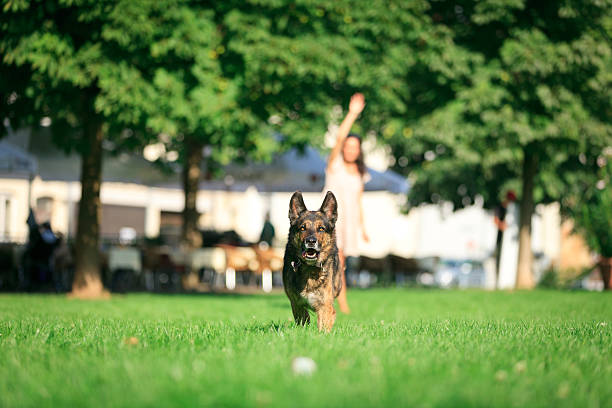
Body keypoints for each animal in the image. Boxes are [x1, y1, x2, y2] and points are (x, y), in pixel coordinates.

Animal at [284, 191, 342, 332]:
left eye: (321, 228)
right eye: (302, 228)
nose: (311, 241)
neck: (309, 269)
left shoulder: (325, 306)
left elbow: (324, 325)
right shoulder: (296, 304)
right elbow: (303, 319)